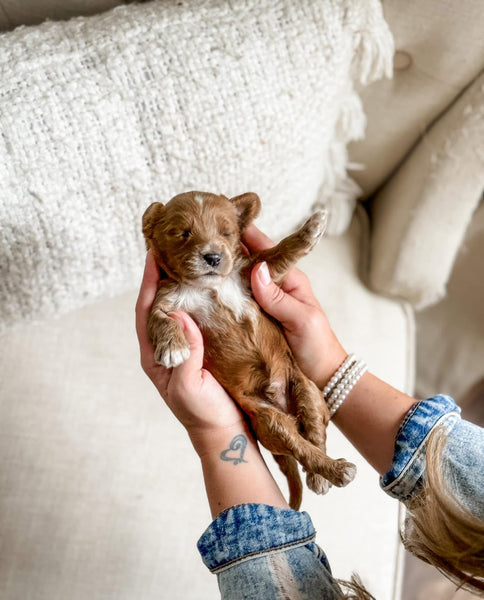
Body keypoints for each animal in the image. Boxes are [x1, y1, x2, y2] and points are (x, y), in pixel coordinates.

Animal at [142, 190, 354, 508]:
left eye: (226, 233)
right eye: (183, 233)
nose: (213, 257)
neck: (210, 286)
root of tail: (282, 404)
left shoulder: (255, 273)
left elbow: (279, 253)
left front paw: (312, 227)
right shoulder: (164, 301)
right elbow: (159, 319)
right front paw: (173, 349)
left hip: (306, 389)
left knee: (316, 434)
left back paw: (326, 475)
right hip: (268, 422)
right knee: (300, 446)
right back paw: (331, 472)